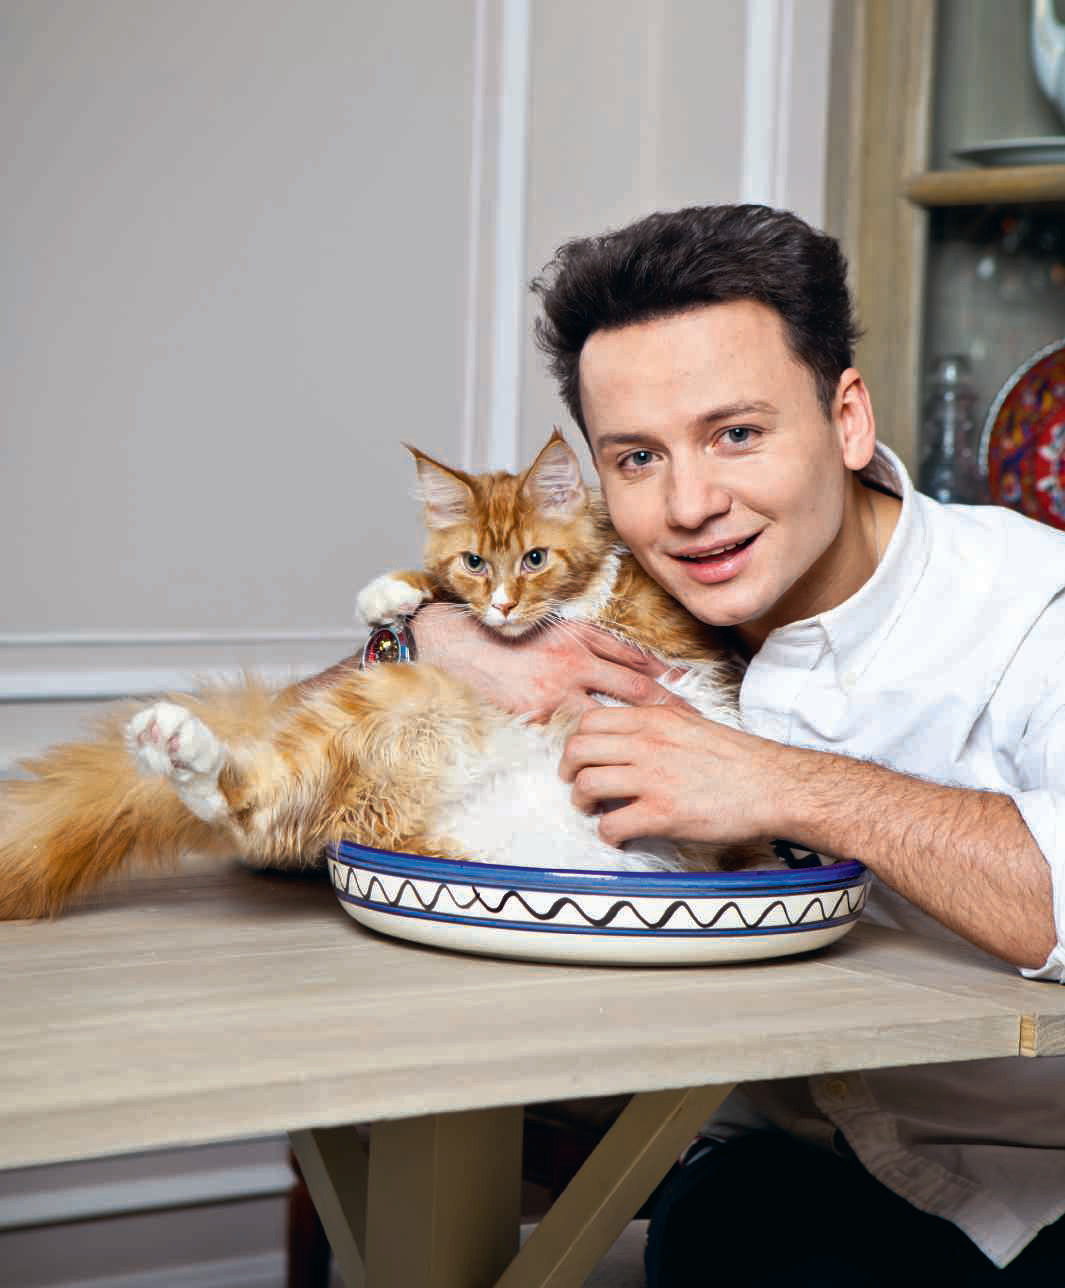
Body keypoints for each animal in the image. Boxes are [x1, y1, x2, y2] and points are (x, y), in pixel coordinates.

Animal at [0, 431, 773, 921]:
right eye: (475, 562)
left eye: (533, 559)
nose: (502, 605)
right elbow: (427, 588)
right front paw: (390, 594)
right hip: (394, 701)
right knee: (248, 807)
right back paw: (175, 745)